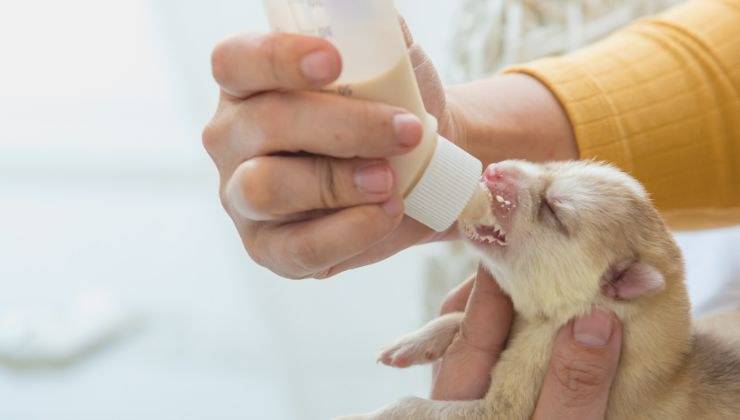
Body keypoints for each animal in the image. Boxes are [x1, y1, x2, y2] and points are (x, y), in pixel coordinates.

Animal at [340, 159, 740, 418]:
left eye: (553, 210)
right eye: (554, 165)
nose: (493, 169)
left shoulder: (513, 398)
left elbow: (414, 407)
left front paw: (369, 415)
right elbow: (455, 318)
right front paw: (414, 341)